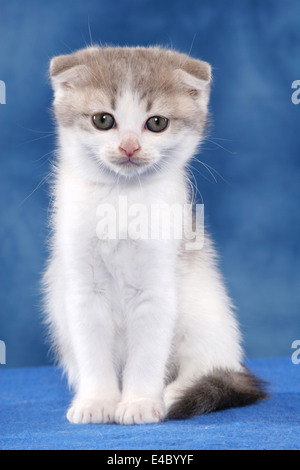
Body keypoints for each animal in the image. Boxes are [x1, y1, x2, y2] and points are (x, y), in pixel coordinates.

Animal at [42, 46, 268, 424]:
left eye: (157, 123)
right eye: (103, 120)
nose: (129, 147)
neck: (120, 200)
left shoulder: (157, 287)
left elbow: (148, 353)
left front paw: (139, 402)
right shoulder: (83, 290)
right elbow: (93, 352)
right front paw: (97, 401)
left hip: (206, 318)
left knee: (211, 369)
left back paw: (174, 393)